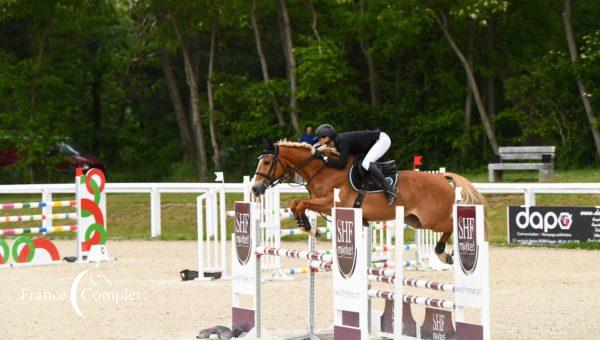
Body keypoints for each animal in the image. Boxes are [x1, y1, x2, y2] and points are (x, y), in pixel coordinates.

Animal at [251, 139, 486, 264]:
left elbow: (300, 204)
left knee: (452, 225)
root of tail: (442, 178)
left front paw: (310, 227)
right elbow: (296, 204)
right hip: (416, 221)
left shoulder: (331, 202)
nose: (255, 188)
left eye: (268, 162)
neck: (324, 170)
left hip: (432, 220)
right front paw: (306, 226)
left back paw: (443, 252)